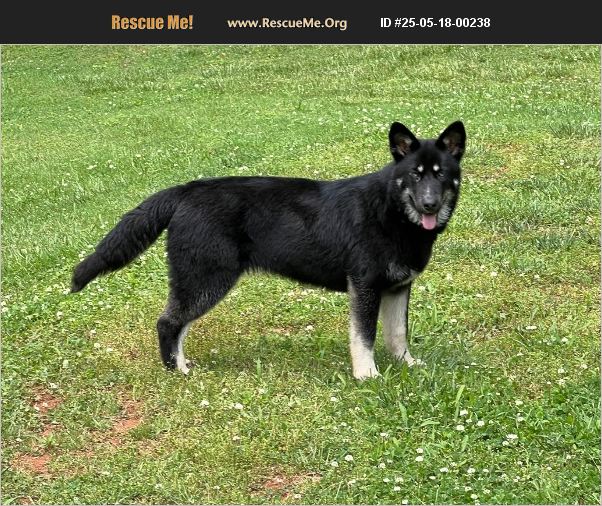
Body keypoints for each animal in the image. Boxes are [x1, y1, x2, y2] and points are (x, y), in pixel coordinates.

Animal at [71, 121, 465, 379]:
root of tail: (186, 190)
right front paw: (367, 375)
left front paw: (406, 366)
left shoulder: (398, 287)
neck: (392, 212)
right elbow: (363, 338)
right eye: (414, 175)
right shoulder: (364, 287)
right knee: (168, 323)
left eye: (440, 174)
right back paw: (176, 370)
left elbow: (397, 334)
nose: (429, 205)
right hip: (205, 280)